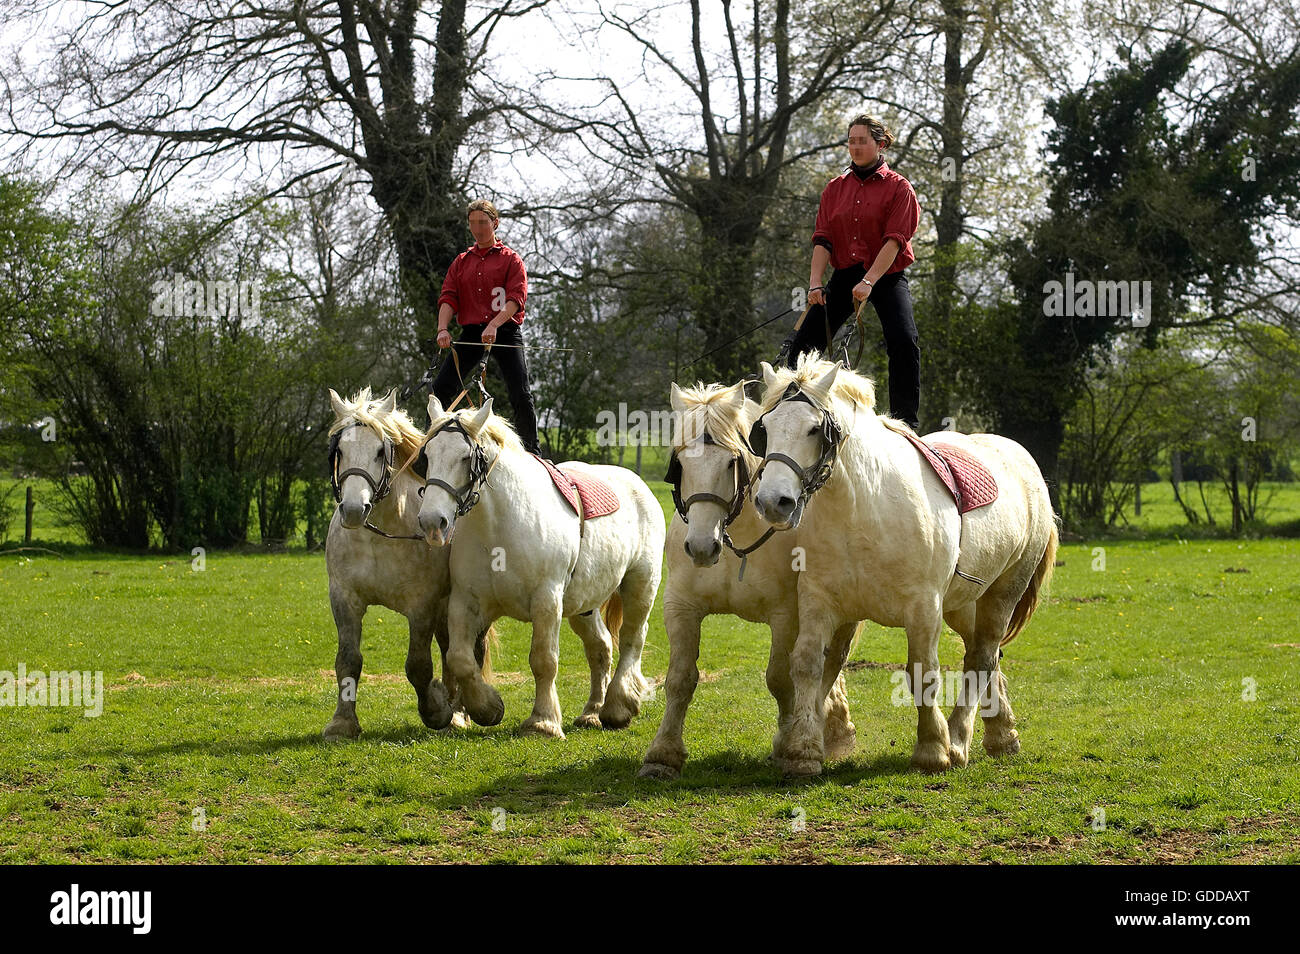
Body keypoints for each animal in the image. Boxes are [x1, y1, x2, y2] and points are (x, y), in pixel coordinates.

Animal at [323, 386, 490, 739]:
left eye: (379, 452)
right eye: (340, 450)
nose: (354, 510)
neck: (379, 538)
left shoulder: (422, 606)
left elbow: (418, 666)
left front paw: (436, 711)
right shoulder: (344, 598)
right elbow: (348, 659)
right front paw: (342, 722)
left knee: (470, 650)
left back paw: (460, 711)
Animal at [415, 395, 664, 737]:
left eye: (466, 458)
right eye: (426, 456)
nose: (432, 521)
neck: (499, 526)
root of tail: (638, 485)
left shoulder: (547, 601)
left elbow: (543, 660)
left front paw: (542, 721)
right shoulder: (465, 602)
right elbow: (460, 658)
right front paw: (487, 707)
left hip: (641, 585)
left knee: (632, 638)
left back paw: (618, 706)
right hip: (584, 606)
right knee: (600, 647)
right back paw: (592, 711)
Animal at [639, 380, 861, 779]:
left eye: (731, 461)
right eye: (680, 462)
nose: (701, 546)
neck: (735, 540)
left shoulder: (786, 615)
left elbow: (780, 678)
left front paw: (788, 744)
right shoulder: (680, 607)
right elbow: (679, 678)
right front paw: (662, 754)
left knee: (832, 662)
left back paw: (830, 729)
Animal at [748, 354, 1058, 775]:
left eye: (814, 430)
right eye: (765, 430)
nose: (772, 501)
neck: (862, 507)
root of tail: (1023, 460)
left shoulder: (923, 607)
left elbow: (922, 672)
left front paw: (932, 748)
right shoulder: (819, 601)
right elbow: (808, 664)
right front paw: (802, 751)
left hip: (1003, 591)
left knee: (982, 656)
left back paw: (958, 739)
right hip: (963, 603)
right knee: (986, 653)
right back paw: (1002, 734)